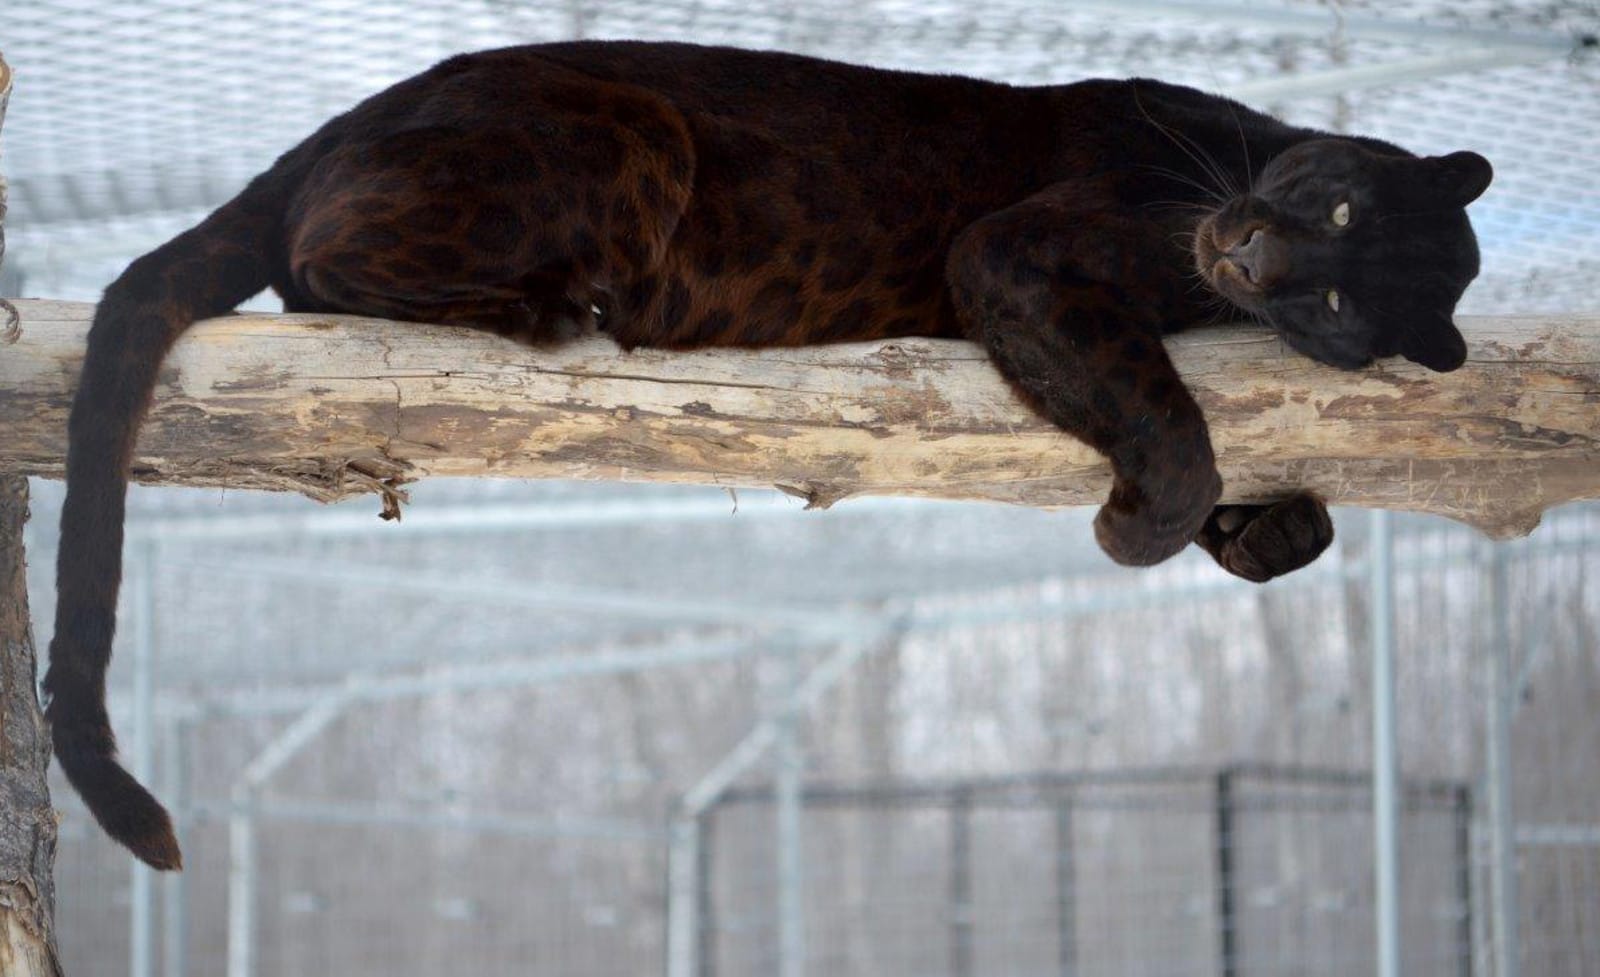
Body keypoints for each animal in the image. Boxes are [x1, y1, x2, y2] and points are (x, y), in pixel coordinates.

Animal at [45, 41, 1490, 869]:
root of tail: (327, 129)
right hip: (626, 124)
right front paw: (1141, 527)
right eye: (1338, 207)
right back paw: (559, 306)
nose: (1254, 256)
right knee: (319, 264)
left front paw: (1272, 527)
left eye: (1342, 303)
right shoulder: (1022, 255)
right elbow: (1165, 424)